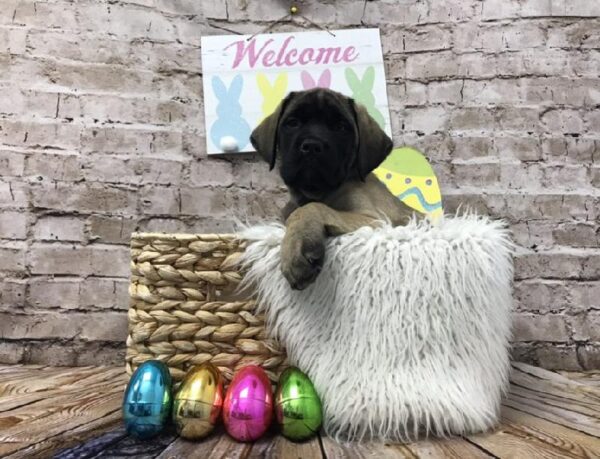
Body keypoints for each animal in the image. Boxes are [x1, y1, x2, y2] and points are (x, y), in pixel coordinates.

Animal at [251, 88, 414, 290]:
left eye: (340, 127)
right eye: (293, 123)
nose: (312, 146)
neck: (317, 192)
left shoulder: (375, 220)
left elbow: (309, 209)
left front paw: (296, 248)